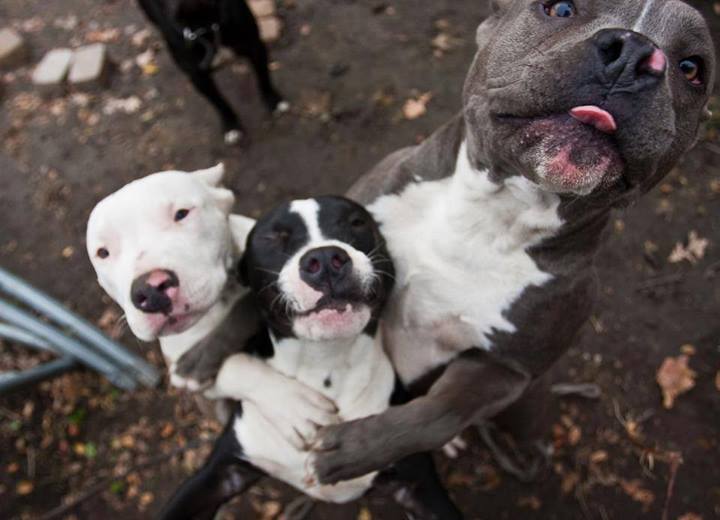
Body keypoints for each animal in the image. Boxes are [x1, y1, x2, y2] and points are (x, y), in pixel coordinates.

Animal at [137, 0, 286, 144]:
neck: (203, 23)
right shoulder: (197, 75)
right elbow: (219, 102)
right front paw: (231, 125)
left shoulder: (255, 46)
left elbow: (263, 78)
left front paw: (274, 101)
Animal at [158, 196, 462, 520]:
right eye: (272, 238)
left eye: (356, 222)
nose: (326, 259)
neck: (325, 363)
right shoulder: (221, 475)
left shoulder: (418, 485)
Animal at [310, 1, 716, 488]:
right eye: (559, 8)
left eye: (692, 69)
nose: (634, 52)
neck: (491, 215)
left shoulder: (503, 369)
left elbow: (437, 416)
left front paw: (355, 450)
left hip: (525, 407)